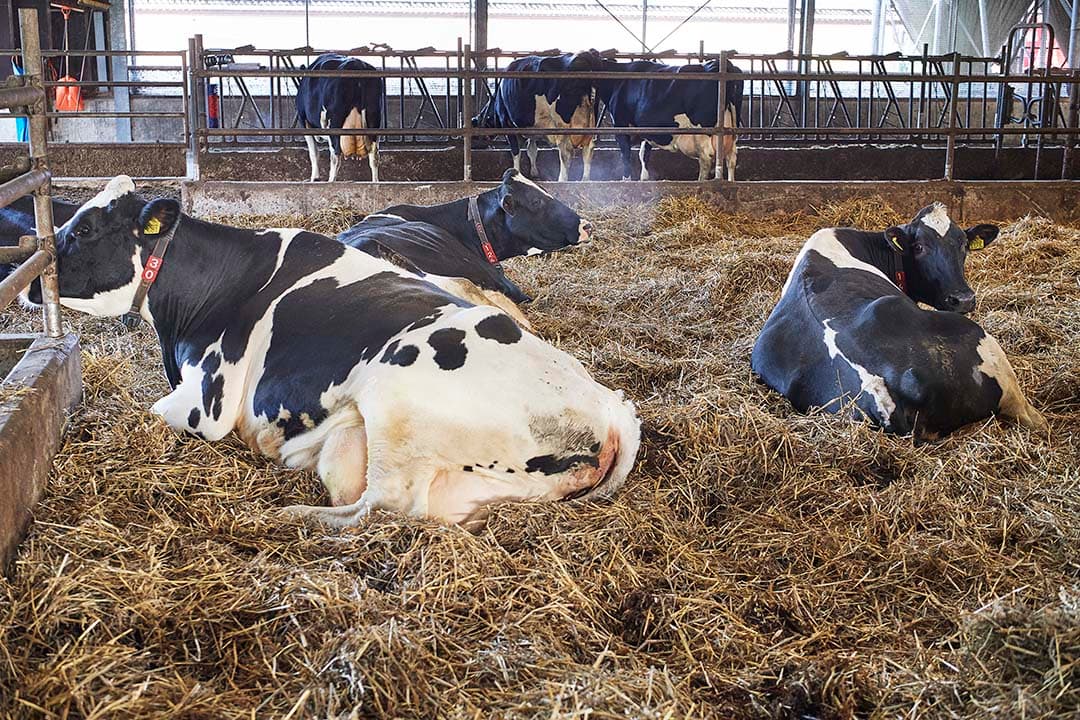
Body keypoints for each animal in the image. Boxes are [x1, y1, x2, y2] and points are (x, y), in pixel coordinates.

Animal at [296, 53, 384, 183]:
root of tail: (356, 64)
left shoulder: (304, 120)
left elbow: (314, 153)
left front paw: (315, 178)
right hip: (374, 120)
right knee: (374, 156)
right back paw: (375, 182)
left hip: (335, 124)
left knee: (335, 157)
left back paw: (331, 181)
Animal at [472, 51, 603, 181]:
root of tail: (584, 56)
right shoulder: (533, 129)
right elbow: (532, 150)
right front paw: (534, 172)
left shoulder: (507, 124)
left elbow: (515, 152)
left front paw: (517, 172)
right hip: (590, 123)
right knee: (588, 150)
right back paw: (585, 180)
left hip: (561, 125)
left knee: (566, 152)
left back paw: (562, 180)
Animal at [595, 58, 744, 181]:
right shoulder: (646, 130)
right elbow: (644, 154)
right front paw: (644, 179)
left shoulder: (620, 125)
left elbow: (626, 155)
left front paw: (627, 181)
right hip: (731, 131)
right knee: (731, 159)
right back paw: (730, 182)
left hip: (702, 132)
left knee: (706, 160)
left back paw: (701, 182)